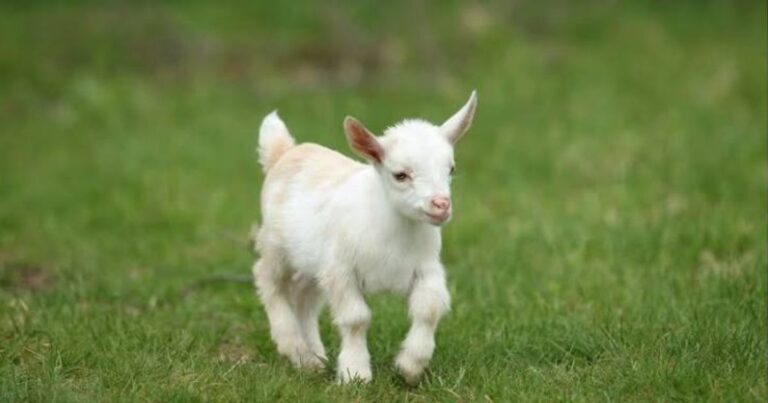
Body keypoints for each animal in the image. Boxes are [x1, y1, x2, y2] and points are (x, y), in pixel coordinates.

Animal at [252, 91, 477, 384]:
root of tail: (285, 152)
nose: (441, 205)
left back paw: (313, 359)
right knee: (268, 279)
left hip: (313, 261)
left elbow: (428, 310)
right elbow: (355, 319)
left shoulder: (427, 269)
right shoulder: (341, 270)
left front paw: (411, 365)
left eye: (450, 169)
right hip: (276, 245)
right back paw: (293, 347)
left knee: (304, 296)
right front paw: (355, 373)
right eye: (400, 175)